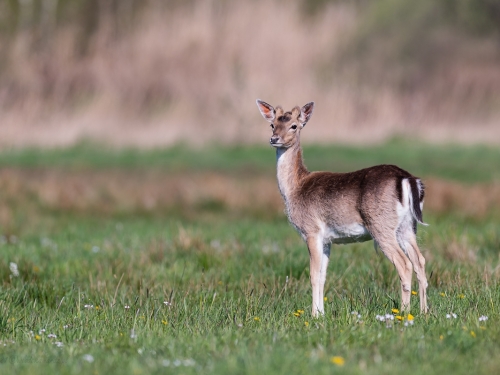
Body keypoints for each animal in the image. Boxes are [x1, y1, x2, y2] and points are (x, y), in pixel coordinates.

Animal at [256, 100, 428, 318]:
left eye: (294, 125)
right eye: (272, 124)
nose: (274, 139)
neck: (294, 189)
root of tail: (407, 179)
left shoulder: (311, 231)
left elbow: (313, 275)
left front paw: (314, 315)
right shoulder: (327, 239)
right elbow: (323, 275)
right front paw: (321, 314)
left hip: (381, 225)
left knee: (404, 264)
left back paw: (403, 313)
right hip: (408, 226)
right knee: (420, 260)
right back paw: (424, 312)